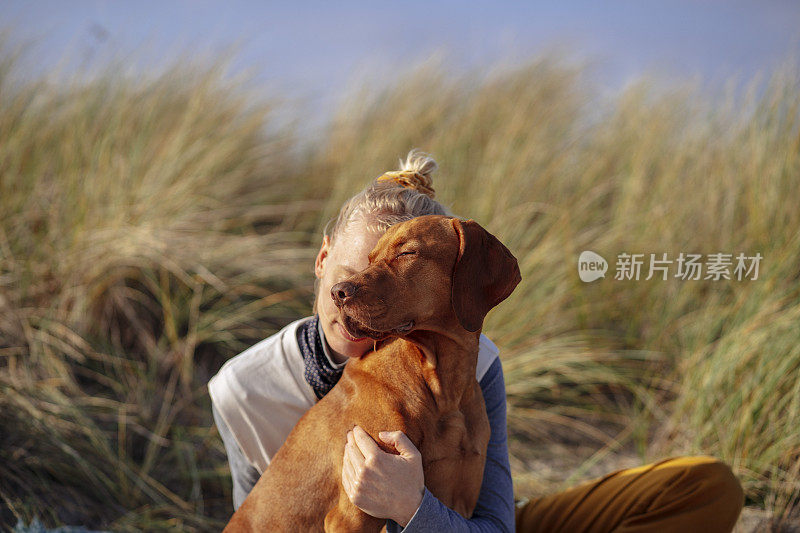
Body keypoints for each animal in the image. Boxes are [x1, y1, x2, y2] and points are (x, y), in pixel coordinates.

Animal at [225, 215, 520, 532]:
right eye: (370, 258)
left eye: (407, 253)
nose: (338, 292)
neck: (443, 388)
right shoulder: (351, 517)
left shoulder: (462, 501)